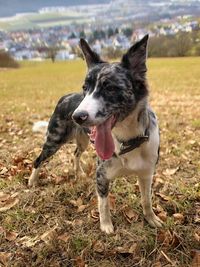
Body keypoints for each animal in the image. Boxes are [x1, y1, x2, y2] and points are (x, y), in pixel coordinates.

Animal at [28, 35, 162, 234]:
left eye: (110, 88)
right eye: (85, 88)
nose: (77, 116)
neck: (127, 139)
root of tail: (65, 97)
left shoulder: (146, 174)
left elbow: (147, 200)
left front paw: (151, 219)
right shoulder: (101, 177)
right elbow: (103, 205)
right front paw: (106, 226)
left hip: (83, 141)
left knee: (75, 154)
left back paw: (79, 173)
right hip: (54, 140)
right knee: (38, 160)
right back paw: (32, 180)